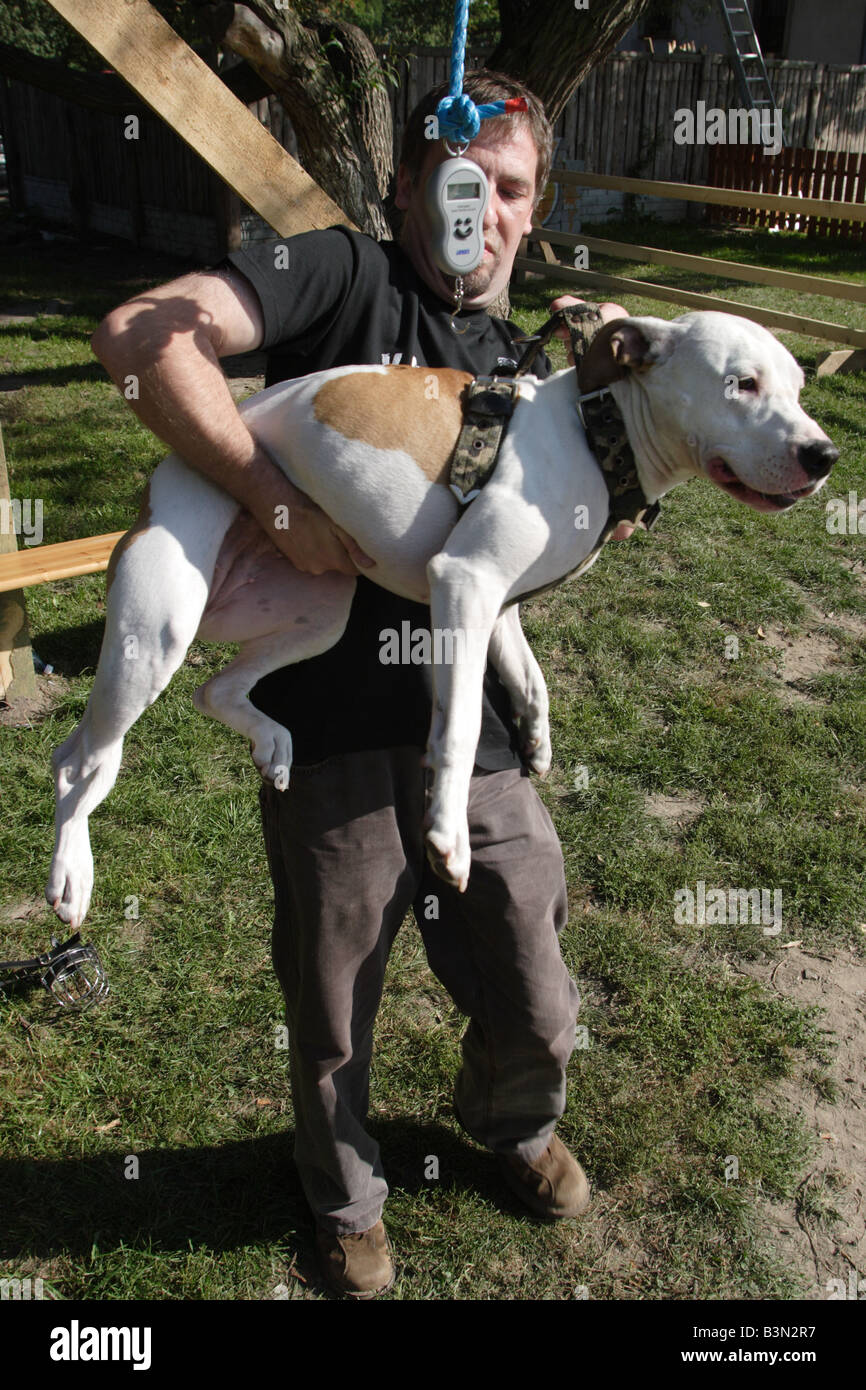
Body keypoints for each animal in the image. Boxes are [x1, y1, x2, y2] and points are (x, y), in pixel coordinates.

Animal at [45, 314, 839, 922]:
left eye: (799, 388)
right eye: (742, 384)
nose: (824, 454)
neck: (597, 430)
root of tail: (161, 474)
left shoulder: (494, 603)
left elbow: (530, 682)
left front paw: (536, 742)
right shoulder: (464, 581)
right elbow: (456, 728)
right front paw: (448, 838)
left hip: (320, 611)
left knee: (215, 690)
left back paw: (271, 740)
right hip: (158, 631)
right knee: (77, 760)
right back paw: (71, 872)